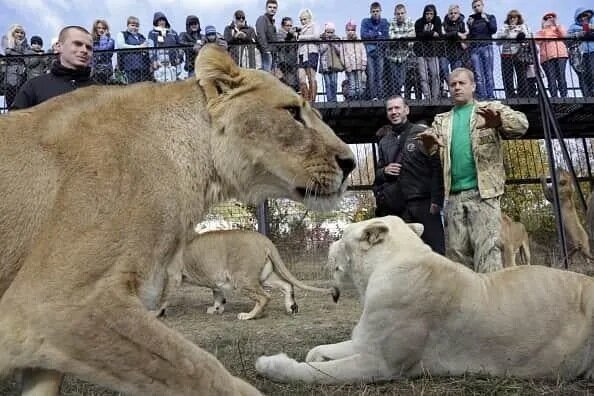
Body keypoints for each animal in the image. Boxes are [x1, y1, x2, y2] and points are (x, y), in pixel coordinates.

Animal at [256, 217, 592, 384]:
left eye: (342, 235)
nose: (330, 244)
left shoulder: (381, 364)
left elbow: (312, 373)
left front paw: (272, 364)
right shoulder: (366, 342)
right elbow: (319, 351)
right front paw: (316, 355)